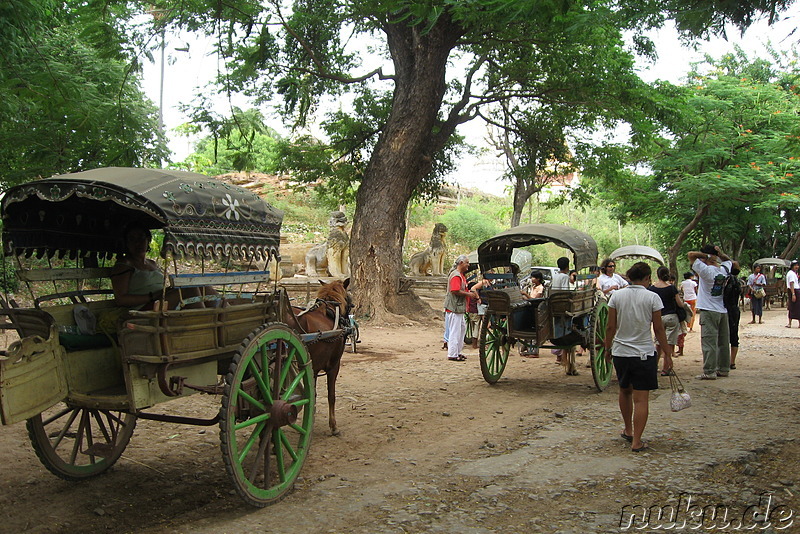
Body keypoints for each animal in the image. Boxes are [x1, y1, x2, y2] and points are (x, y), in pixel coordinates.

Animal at [284, 280, 354, 436]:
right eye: (349, 297)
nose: (353, 306)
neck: (330, 313)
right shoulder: (333, 366)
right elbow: (329, 395)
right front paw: (333, 426)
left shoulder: (312, 368)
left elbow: (312, 394)